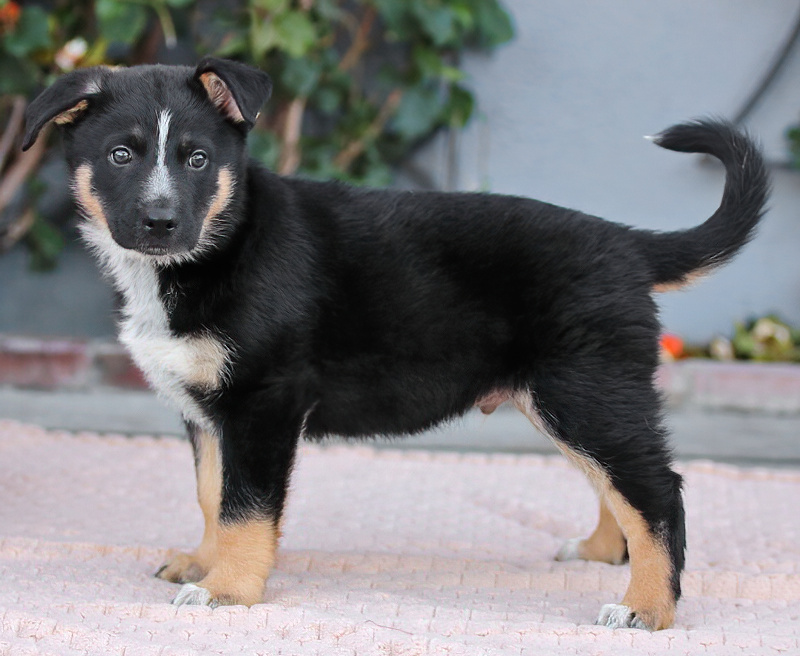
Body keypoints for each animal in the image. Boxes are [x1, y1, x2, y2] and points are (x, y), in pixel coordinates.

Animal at [22, 57, 769, 631]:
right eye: (120, 155)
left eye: (198, 159)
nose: (160, 222)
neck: (215, 249)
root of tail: (628, 242)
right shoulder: (208, 410)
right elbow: (213, 495)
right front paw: (203, 564)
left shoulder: (264, 402)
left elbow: (245, 506)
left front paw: (227, 590)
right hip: (571, 398)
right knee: (617, 484)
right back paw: (601, 555)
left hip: (585, 392)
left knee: (656, 490)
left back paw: (646, 608)